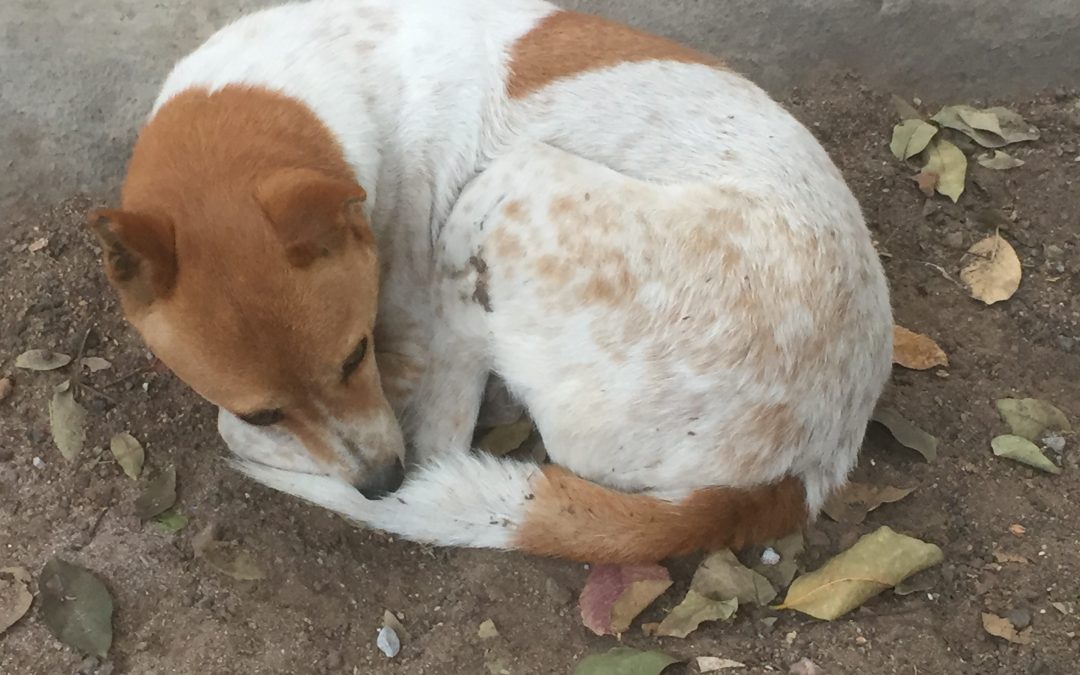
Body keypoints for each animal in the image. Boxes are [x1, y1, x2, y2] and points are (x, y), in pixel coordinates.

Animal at [88, 0, 889, 561]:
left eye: (354, 356)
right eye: (266, 410)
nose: (382, 485)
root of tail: (804, 468)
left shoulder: (406, 340)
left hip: (508, 187)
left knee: (444, 437)